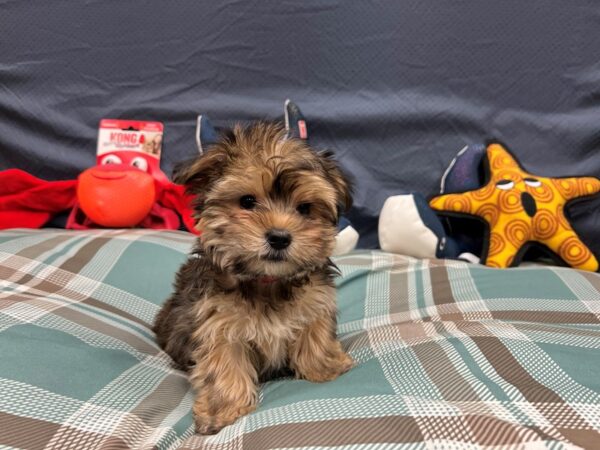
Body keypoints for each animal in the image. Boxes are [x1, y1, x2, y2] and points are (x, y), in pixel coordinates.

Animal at [152, 121, 354, 434]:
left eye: (305, 208)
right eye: (247, 201)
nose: (279, 237)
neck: (267, 281)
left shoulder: (315, 301)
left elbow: (315, 334)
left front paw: (325, 367)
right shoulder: (217, 321)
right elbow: (224, 363)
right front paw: (222, 408)